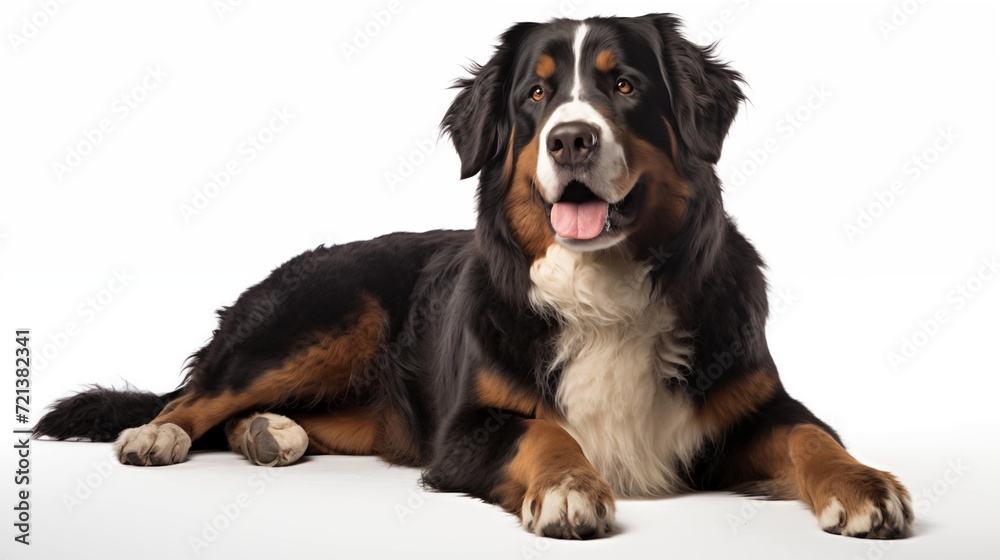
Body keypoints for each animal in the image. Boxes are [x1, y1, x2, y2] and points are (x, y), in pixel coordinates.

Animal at [35, 12, 916, 540]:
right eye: (537, 93)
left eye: (623, 85)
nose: (570, 139)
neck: (602, 291)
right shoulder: (466, 429)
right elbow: (547, 429)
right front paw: (569, 486)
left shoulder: (752, 406)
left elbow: (810, 434)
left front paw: (863, 484)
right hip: (323, 316)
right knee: (197, 394)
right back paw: (158, 434)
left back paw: (270, 434)